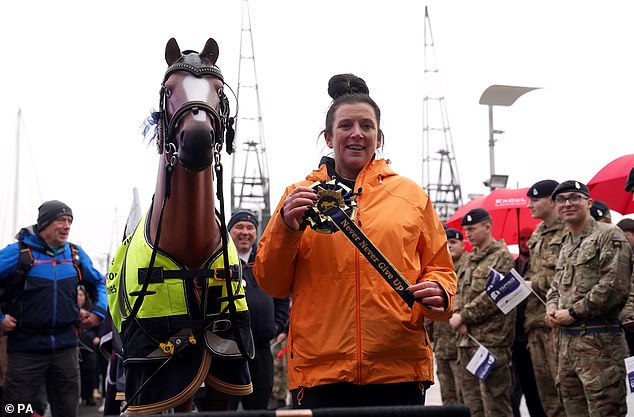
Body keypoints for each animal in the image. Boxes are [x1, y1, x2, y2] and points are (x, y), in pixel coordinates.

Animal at [108, 38, 254, 412]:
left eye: (219, 90)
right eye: (169, 89)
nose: (197, 140)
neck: (189, 249)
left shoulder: (226, 372)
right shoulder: (151, 384)